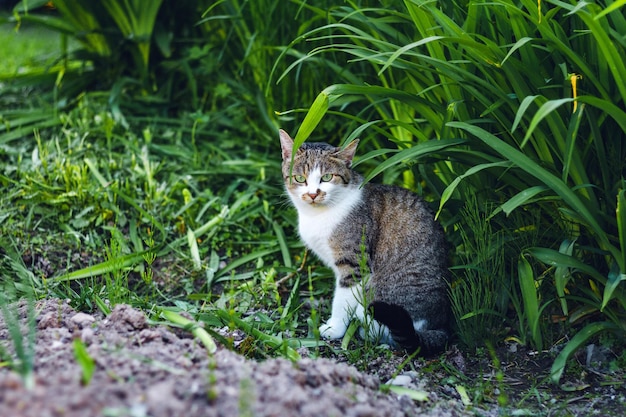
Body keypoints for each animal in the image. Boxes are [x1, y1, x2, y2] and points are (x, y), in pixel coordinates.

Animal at [280, 129, 448, 354]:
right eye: (300, 178)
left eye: (326, 177)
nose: (313, 194)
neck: (317, 215)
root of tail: (441, 323)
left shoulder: (354, 264)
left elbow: (341, 300)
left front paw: (334, 328)